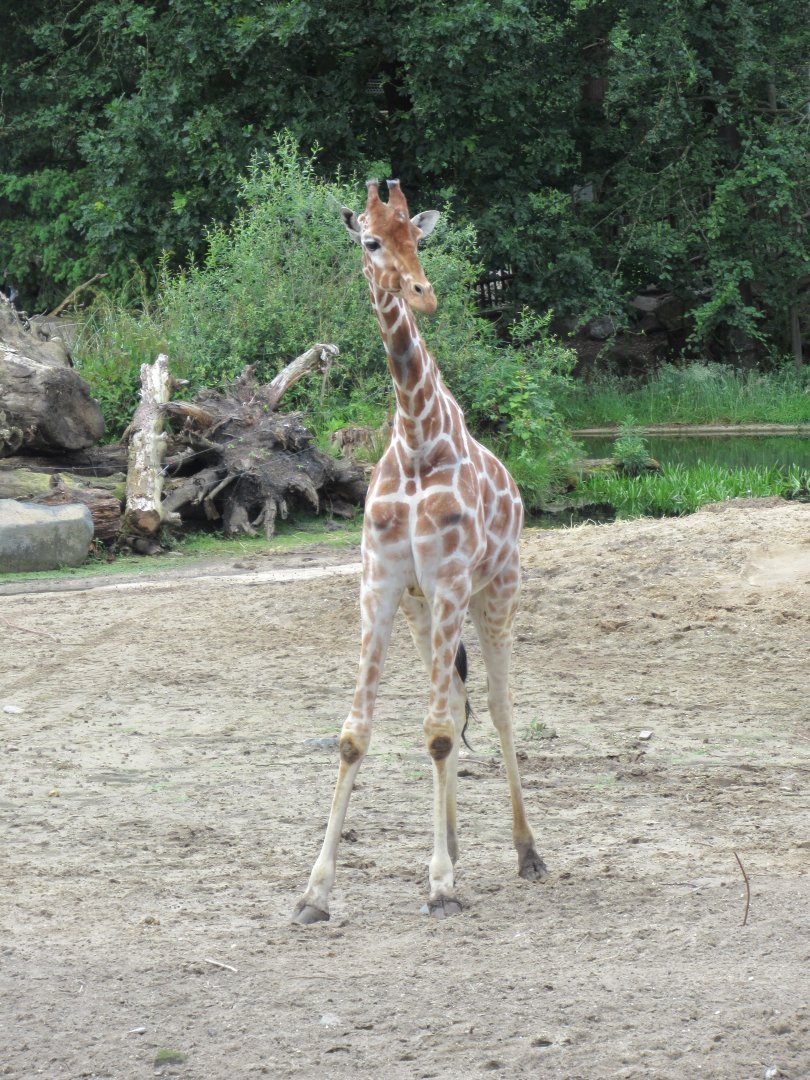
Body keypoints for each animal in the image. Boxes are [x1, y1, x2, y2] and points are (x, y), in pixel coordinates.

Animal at [292, 179, 547, 923]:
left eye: (419, 238)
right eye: (373, 240)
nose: (423, 292)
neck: (413, 436)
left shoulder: (454, 578)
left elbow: (438, 728)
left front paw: (438, 884)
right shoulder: (380, 584)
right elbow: (356, 733)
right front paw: (315, 891)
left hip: (496, 591)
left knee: (496, 706)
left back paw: (526, 853)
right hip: (421, 608)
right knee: (457, 705)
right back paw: (457, 848)